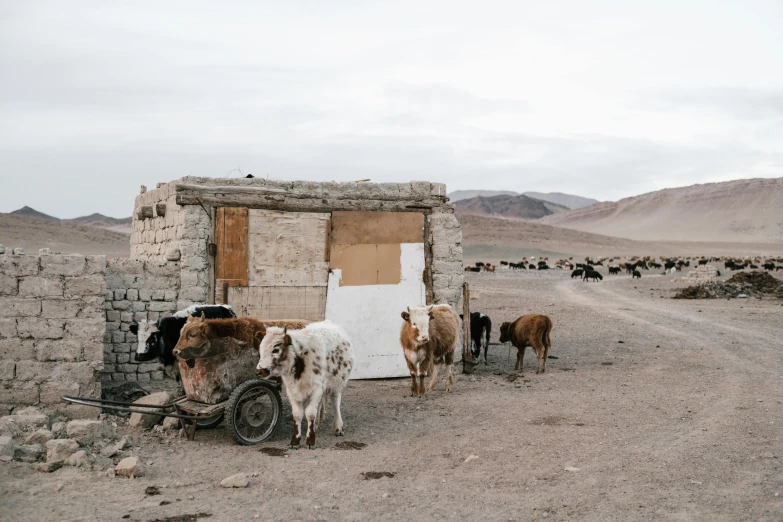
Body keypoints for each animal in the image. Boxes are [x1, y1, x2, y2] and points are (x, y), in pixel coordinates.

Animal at [258, 318, 356, 448]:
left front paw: (310, 440)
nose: (259, 371)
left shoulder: (316, 388)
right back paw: (317, 424)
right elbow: (297, 414)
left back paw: (338, 426)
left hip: (337, 383)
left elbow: (310, 413)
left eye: (275, 349)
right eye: (260, 349)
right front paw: (295, 440)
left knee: (335, 402)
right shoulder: (292, 390)